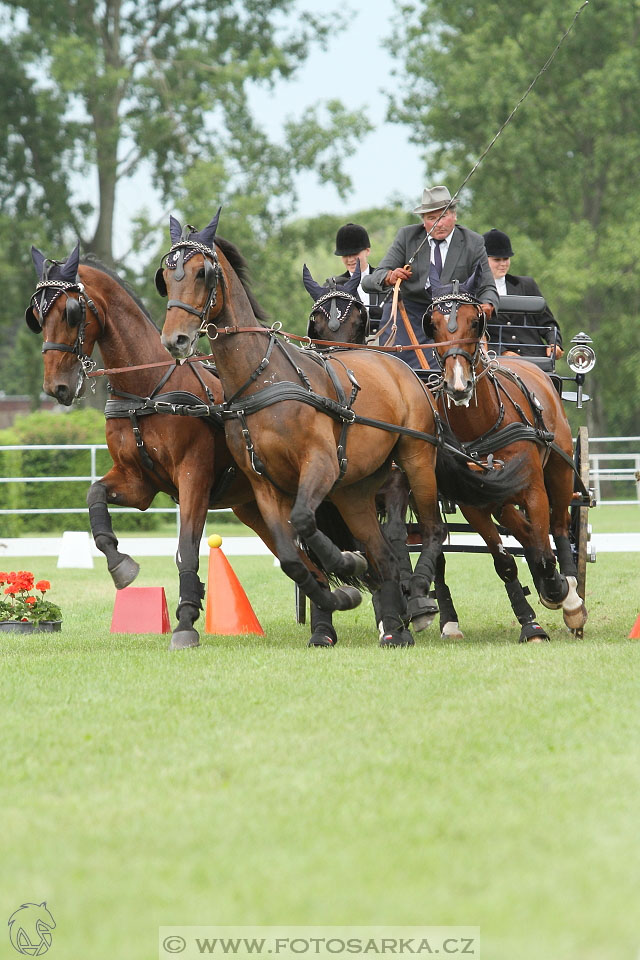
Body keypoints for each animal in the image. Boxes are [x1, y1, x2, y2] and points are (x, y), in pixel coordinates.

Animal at [23, 246, 278, 652]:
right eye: (36, 315)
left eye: (71, 312)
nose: (56, 387)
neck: (147, 389)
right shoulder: (137, 482)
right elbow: (94, 496)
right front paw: (120, 564)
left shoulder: (193, 476)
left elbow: (186, 547)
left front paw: (186, 620)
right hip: (253, 506)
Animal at [155, 210, 524, 644]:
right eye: (167, 274)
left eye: (202, 273)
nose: (175, 339)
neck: (262, 381)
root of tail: (402, 368)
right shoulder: (265, 484)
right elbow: (291, 553)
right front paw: (334, 604)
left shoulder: (322, 466)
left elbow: (310, 524)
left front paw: (350, 569)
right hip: (354, 490)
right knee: (380, 552)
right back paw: (395, 628)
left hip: (415, 460)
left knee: (430, 533)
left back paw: (418, 598)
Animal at [422, 264, 588, 636]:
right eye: (433, 325)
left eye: (475, 321)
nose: (458, 385)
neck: (480, 427)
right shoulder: (474, 501)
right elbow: (505, 561)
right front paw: (531, 625)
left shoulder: (533, 488)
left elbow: (545, 551)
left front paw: (558, 591)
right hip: (498, 496)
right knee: (525, 533)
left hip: (558, 471)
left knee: (558, 527)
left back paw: (569, 594)